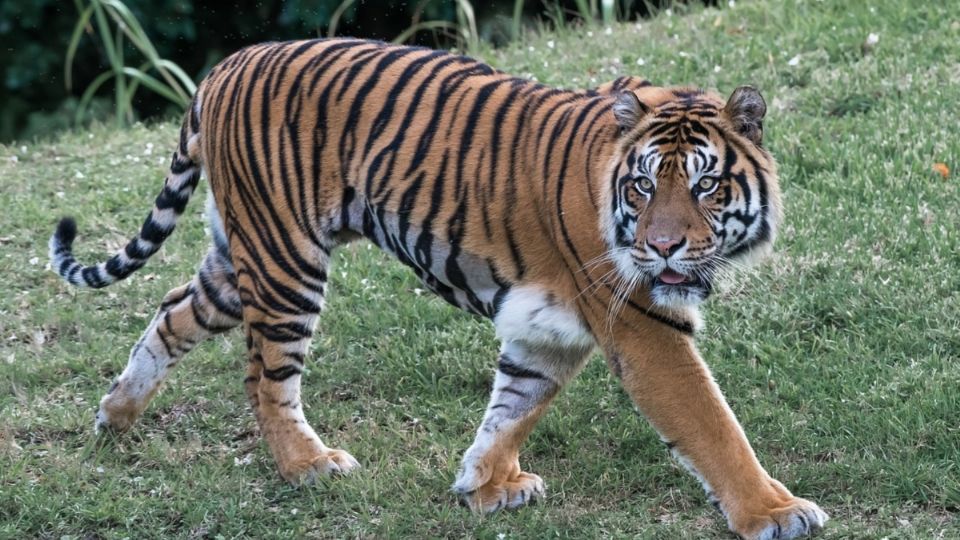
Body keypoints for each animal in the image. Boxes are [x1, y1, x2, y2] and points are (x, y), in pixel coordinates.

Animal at [48, 39, 824, 540]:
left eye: (705, 185)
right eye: (642, 186)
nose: (662, 247)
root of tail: (220, 69)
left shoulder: (546, 327)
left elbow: (514, 405)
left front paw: (485, 485)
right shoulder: (642, 324)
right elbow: (712, 423)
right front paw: (774, 513)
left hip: (240, 262)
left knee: (173, 310)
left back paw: (116, 416)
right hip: (285, 262)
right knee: (265, 377)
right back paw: (308, 466)